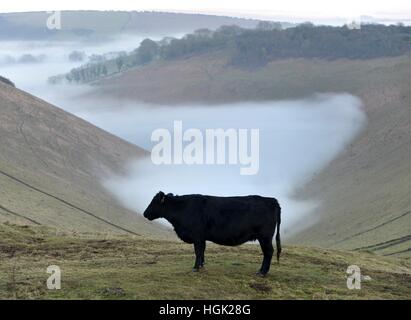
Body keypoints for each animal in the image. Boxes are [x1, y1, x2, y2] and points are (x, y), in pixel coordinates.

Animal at [143, 191, 282, 276]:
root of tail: (272, 200)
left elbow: (198, 252)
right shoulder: (202, 238)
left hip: (265, 237)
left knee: (268, 252)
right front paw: (201, 266)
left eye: (154, 202)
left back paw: (262, 272)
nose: (144, 213)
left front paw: (195, 268)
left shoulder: (197, 236)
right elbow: (202, 251)